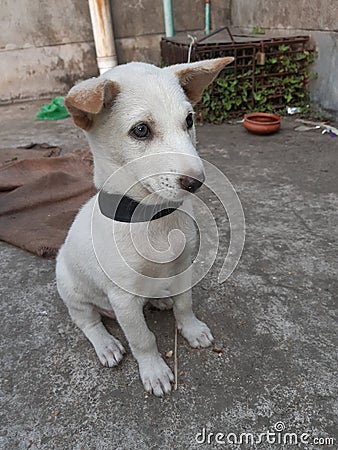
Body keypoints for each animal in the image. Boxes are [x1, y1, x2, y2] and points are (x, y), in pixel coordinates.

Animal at [56, 57, 234, 398]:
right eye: (141, 130)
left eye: (189, 120)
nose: (196, 182)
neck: (154, 218)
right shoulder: (123, 298)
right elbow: (142, 338)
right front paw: (154, 371)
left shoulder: (184, 267)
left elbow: (185, 305)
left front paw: (191, 328)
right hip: (70, 287)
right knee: (87, 321)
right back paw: (107, 344)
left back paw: (160, 299)